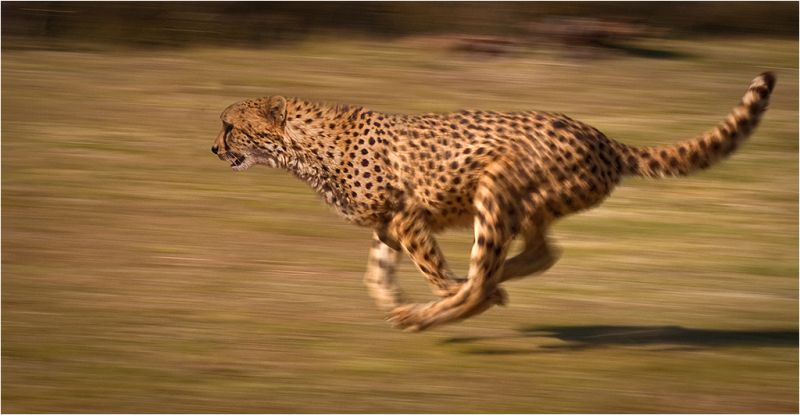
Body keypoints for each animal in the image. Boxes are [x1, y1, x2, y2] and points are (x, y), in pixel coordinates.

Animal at [211, 72, 776, 332]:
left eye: (229, 126)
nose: (213, 149)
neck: (305, 145)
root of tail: (602, 137)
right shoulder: (389, 224)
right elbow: (376, 274)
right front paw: (392, 301)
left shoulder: (407, 216)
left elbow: (433, 271)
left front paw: (430, 301)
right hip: (532, 205)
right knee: (542, 252)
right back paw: (491, 282)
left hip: (496, 185)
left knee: (486, 275)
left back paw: (444, 308)